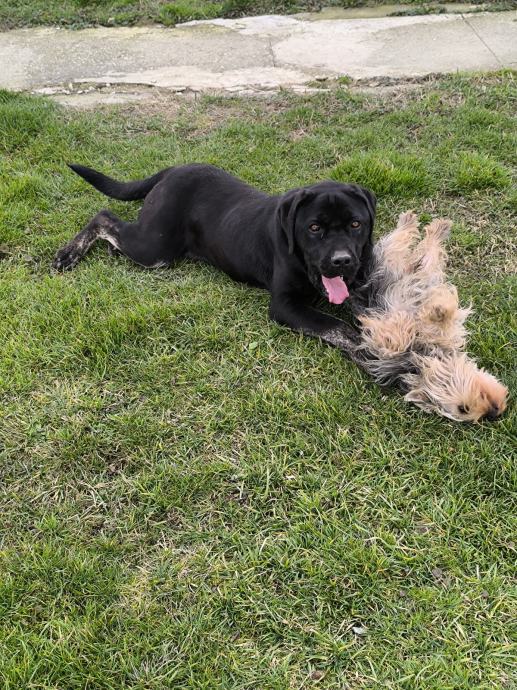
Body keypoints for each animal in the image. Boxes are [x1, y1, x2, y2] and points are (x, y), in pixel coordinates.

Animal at [54, 163, 376, 353]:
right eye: (314, 228)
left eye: (355, 224)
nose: (342, 260)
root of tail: (173, 169)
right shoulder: (285, 305)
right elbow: (338, 327)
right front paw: (372, 354)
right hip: (154, 248)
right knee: (104, 216)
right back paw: (69, 254)